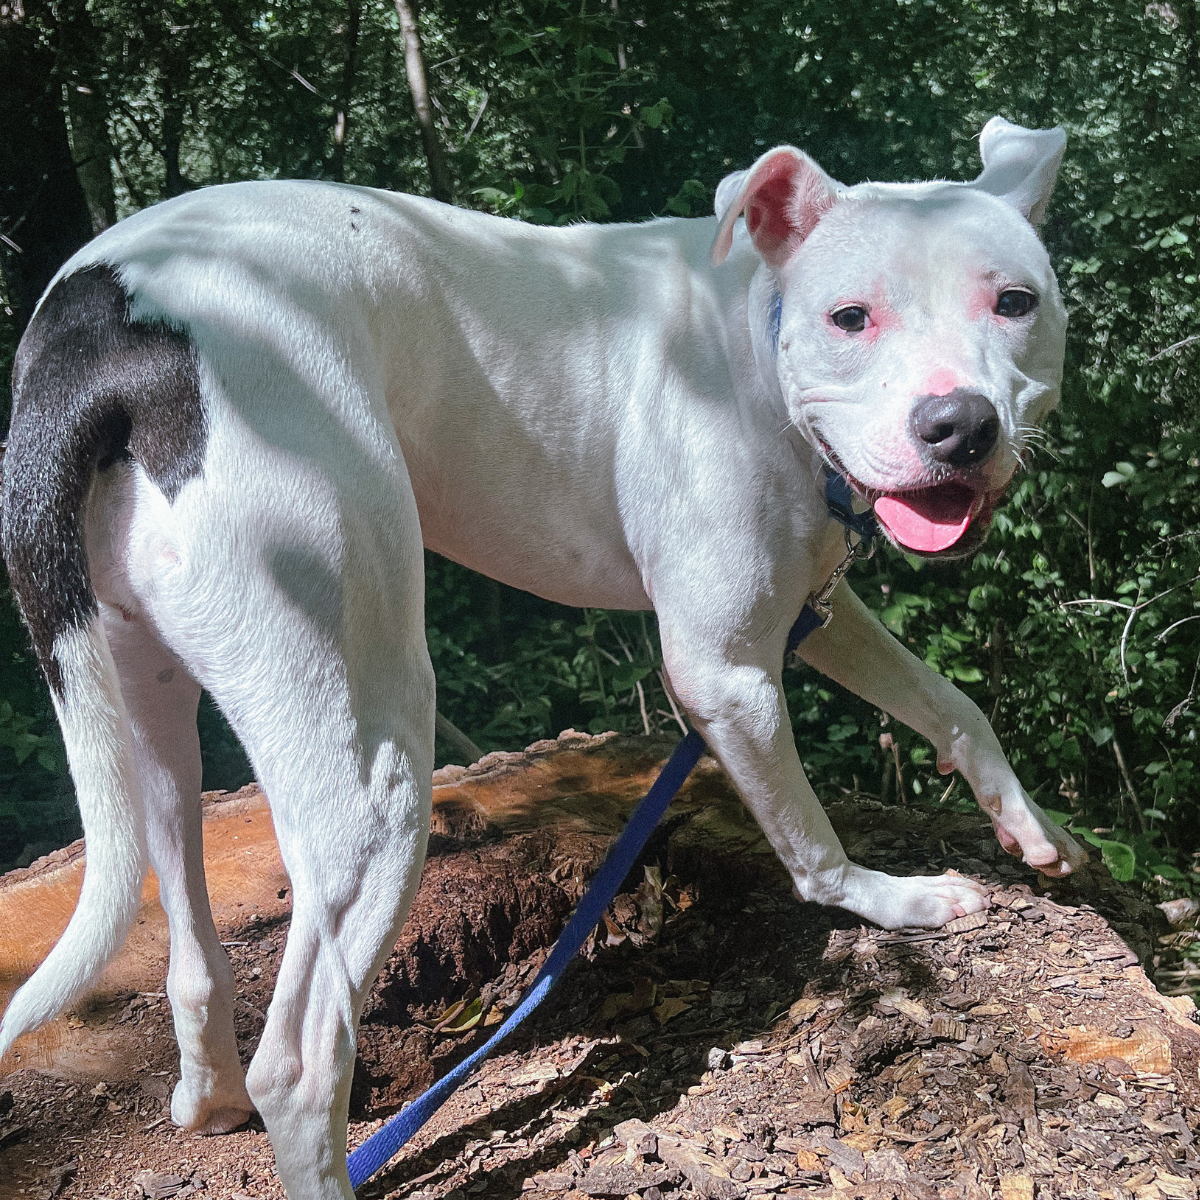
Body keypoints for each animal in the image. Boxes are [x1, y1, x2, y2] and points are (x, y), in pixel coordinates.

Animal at [0, 117, 1084, 1195]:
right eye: (850, 316)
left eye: (1015, 302)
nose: (959, 426)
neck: (753, 331)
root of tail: (101, 323)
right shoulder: (726, 672)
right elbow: (812, 847)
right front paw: (894, 901)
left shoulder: (820, 604)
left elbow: (953, 705)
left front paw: (1033, 829)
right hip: (373, 763)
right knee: (303, 1061)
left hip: (151, 713)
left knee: (189, 941)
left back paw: (209, 1096)